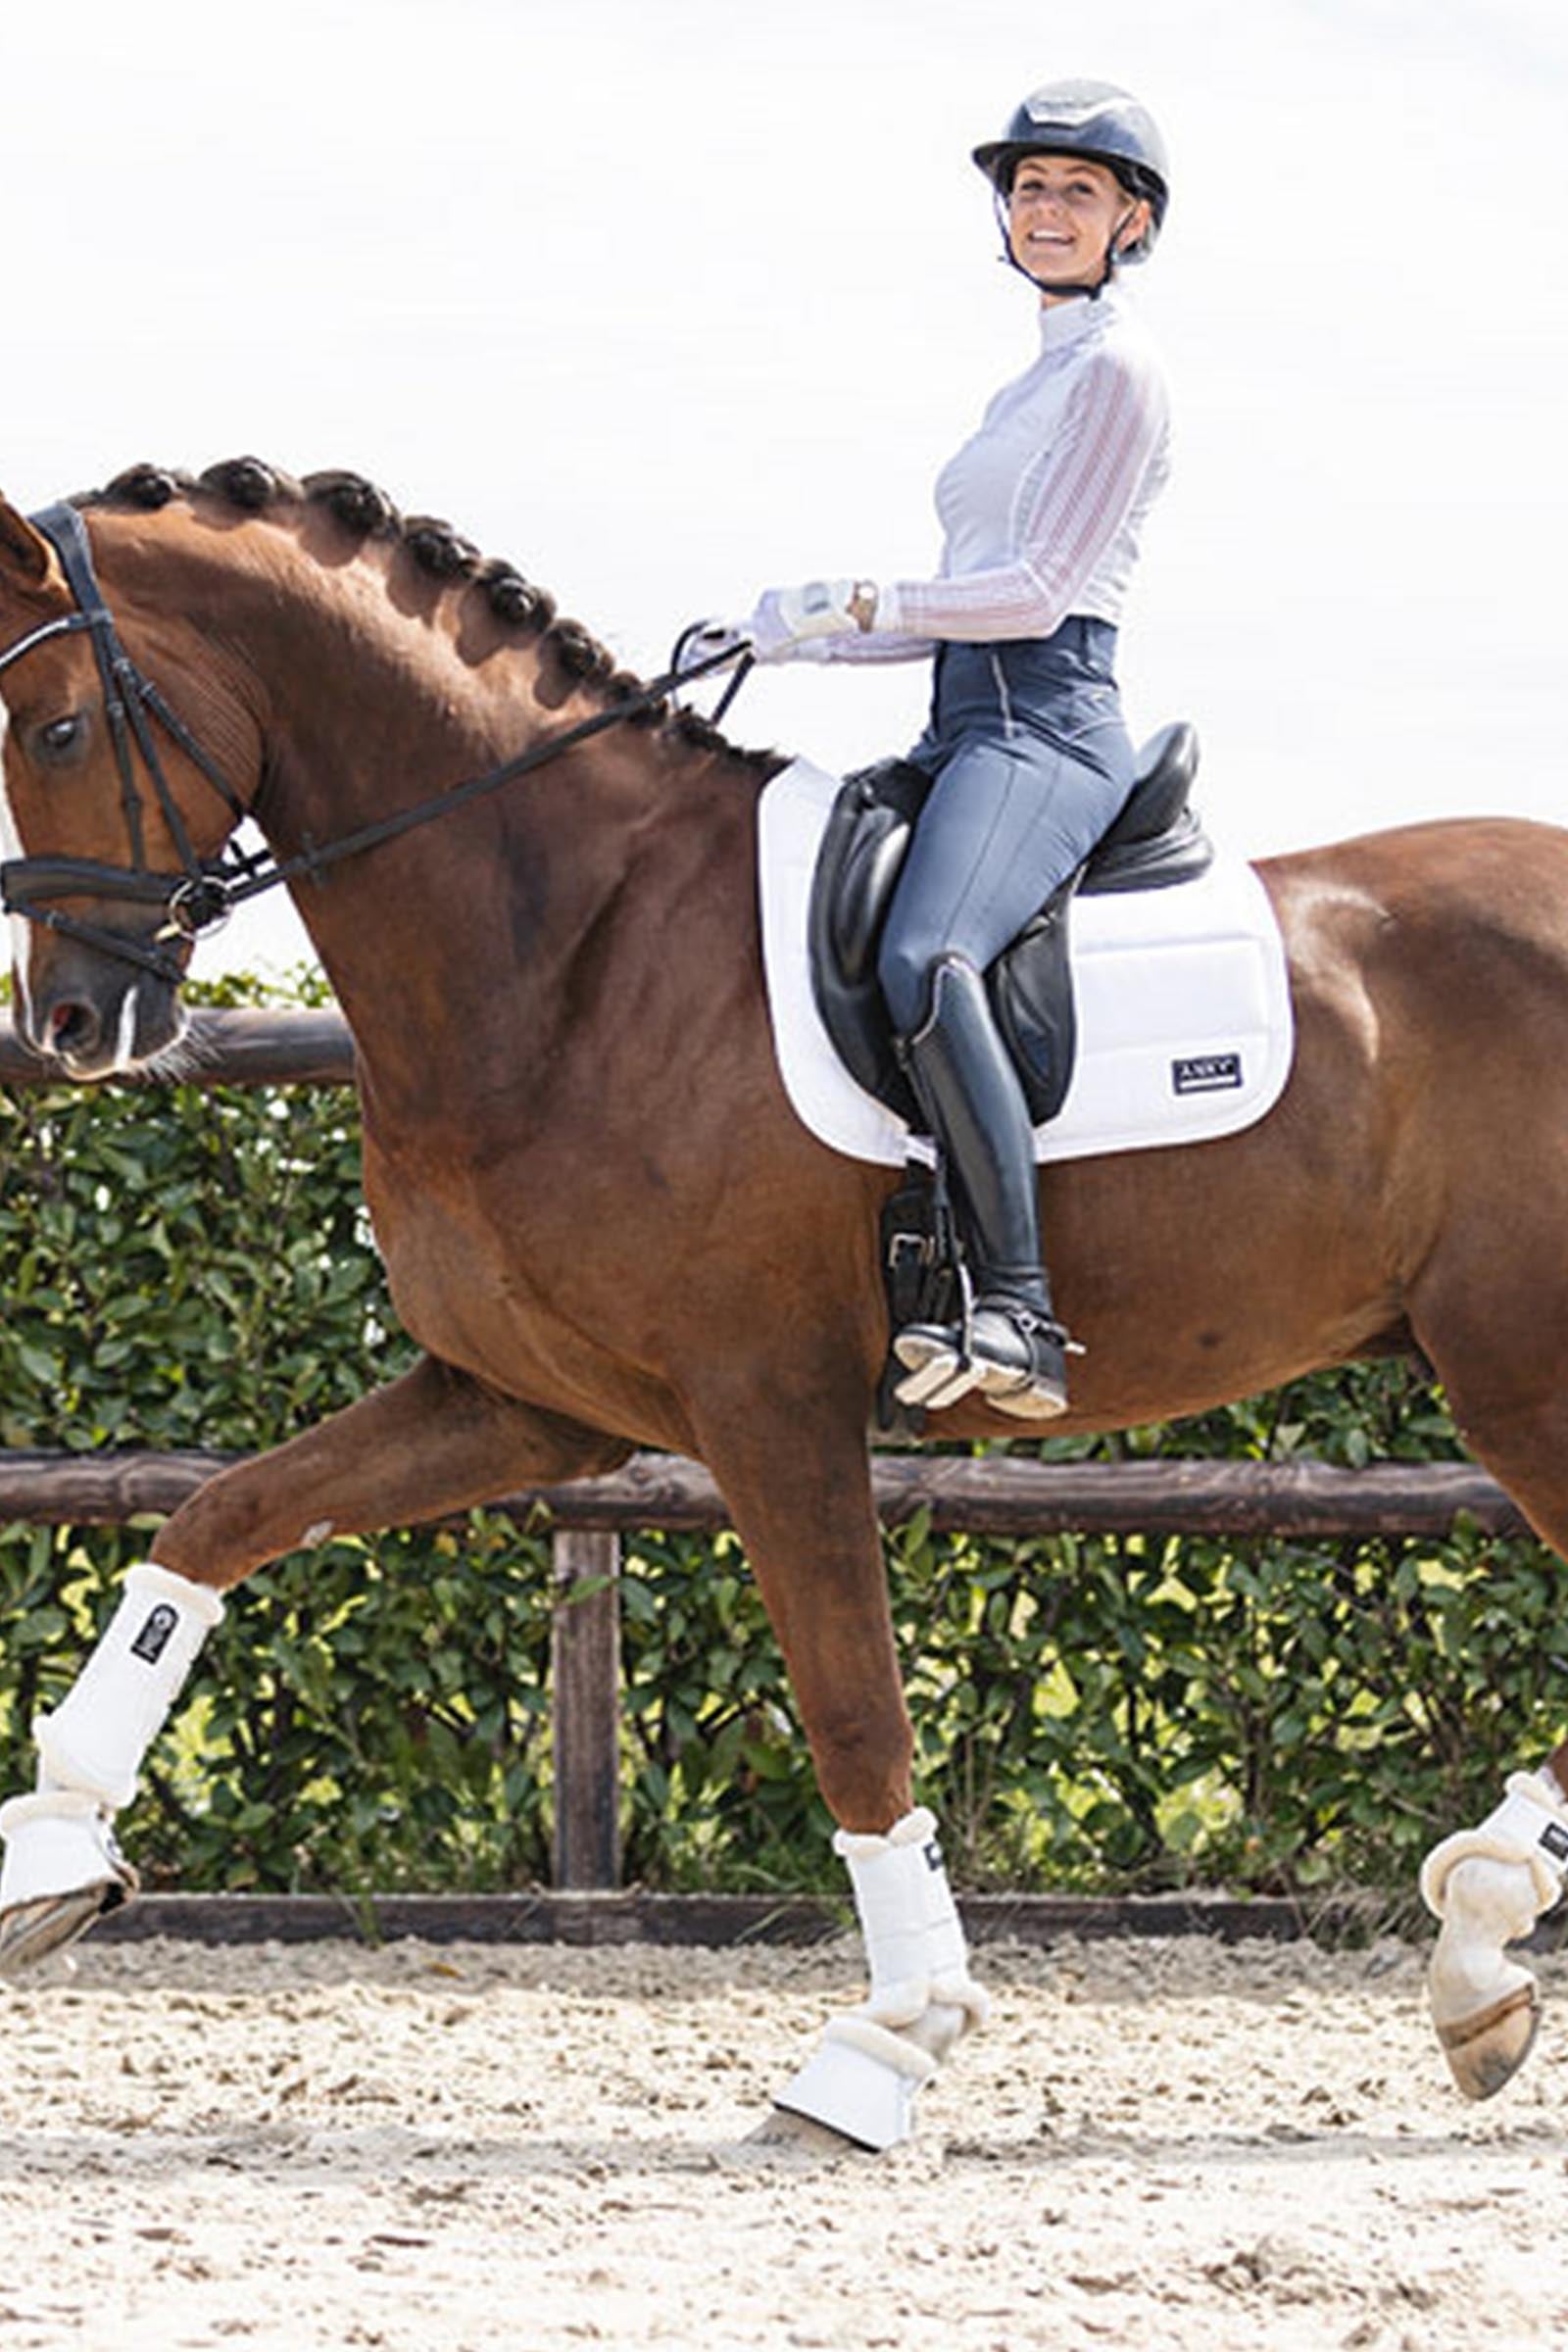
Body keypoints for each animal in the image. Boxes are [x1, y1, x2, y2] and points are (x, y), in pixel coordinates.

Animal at [0, 456, 1564, 2145]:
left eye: (60, 729)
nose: (71, 1020)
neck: (574, 950)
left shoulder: (771, 1409)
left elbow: (854, 1716)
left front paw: (886, 2046)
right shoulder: (527, 1405)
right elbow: (217, 1518)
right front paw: (50, 1857)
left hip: (1523, 1376)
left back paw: (1483, 1926)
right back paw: (1484, 1944)